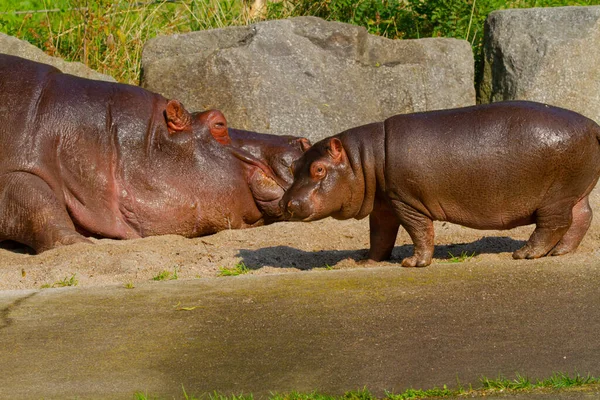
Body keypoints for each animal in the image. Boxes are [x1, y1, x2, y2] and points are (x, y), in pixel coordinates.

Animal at [282, 101, 600, 268]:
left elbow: (420, 232)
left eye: (319, 169)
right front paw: (367, 263)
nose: (287, 203)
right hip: (575, 191)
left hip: (555, 196)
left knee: (553, 224)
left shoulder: (406, 201)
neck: (363, 159)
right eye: (294, 166)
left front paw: (413, 263)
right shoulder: (384, 205)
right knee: (582, 217)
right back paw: (561, 253)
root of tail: (593, 125)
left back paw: (525, 254)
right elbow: (380, 236)